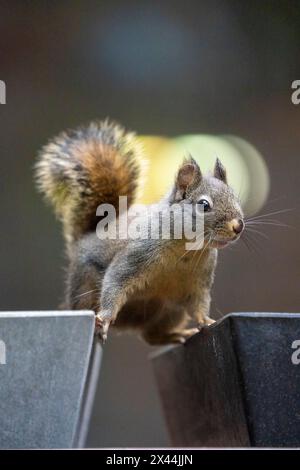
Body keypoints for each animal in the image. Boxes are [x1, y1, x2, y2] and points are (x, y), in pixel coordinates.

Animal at [34, 119, 244, 344]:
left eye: (235, 198)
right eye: (204, 205)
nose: (238, 226)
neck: (185, 250)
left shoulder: (199, 282)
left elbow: (198, 304)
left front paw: (205, 320)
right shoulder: (136, 254)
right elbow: (115, 282)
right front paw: (105, 318)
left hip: (169, 310)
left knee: (151, 335)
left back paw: (175, 335)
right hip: (85, 288)